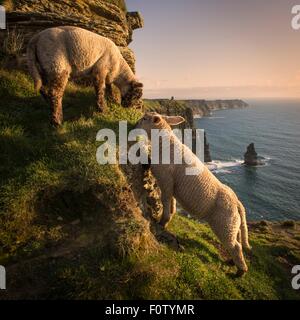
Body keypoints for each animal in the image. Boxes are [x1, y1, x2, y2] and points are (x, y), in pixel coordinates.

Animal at [137, 112, 252, 276]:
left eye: (146, 119)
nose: (135, 123)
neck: (165, 143)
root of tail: (237, 202)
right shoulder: (172, 186)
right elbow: (171, 205)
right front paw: (168, 218)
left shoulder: (166, 181)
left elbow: (165, 201)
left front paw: (162, 222)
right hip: (233, 225)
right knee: (237, 243)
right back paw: (232, 262)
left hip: (225, 225)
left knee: (235, 246)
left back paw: (240, 272)